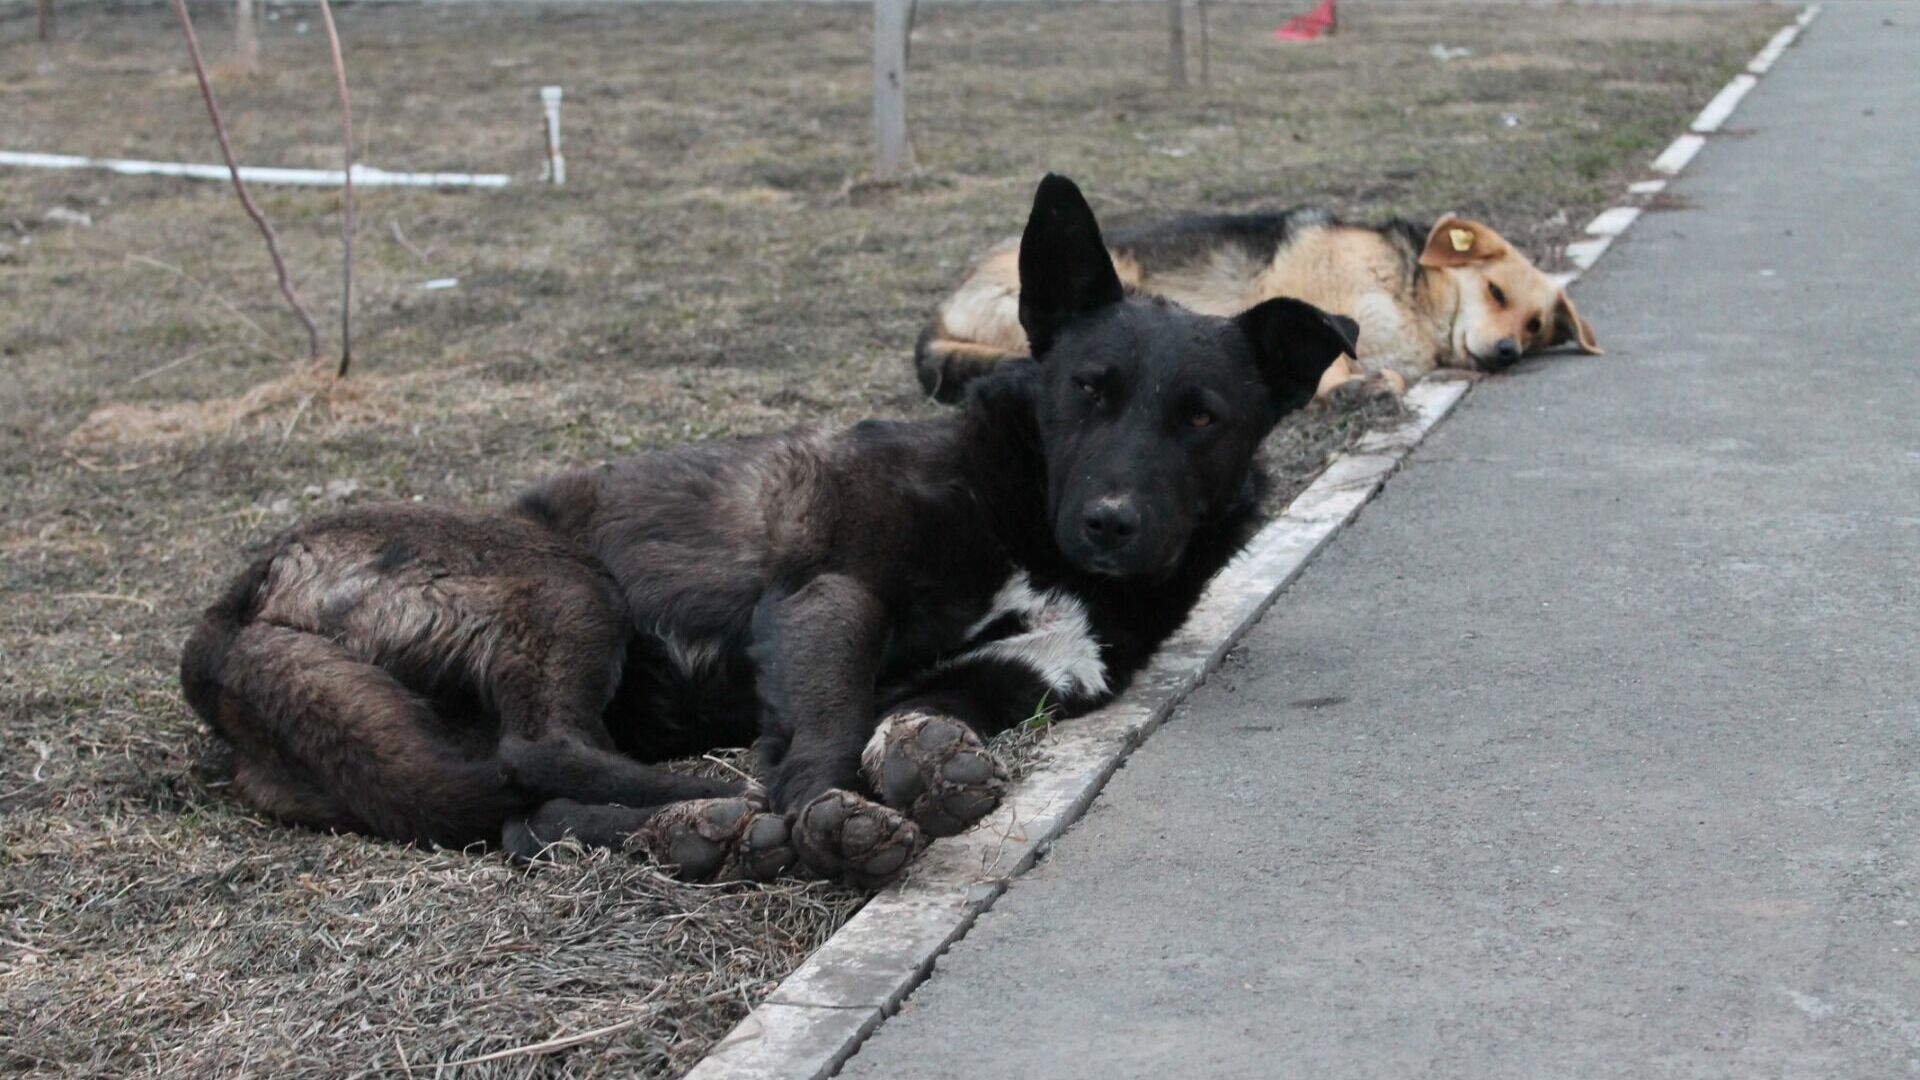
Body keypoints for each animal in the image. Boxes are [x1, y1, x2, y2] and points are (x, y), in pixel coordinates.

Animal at [176, 176, 1351, 883]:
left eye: (1202, 420)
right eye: (1089, 392)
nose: (1112, 525)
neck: (1031, 520)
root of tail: (233, 607)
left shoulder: (1015, 678)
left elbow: (905, 719)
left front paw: (908, 773)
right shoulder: (833, 599)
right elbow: (827, 730)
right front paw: (826, 811)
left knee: (528, 815)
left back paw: (703, 835)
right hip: (564, 584)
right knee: (540, 751)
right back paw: (714, 800)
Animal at [921, 205, 1597, 399]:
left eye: (1536, 326)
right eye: (1494, 292)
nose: (1508, 353)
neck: (1412, 295)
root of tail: (943, 307)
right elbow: (1340, 362)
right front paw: (1349, 388)